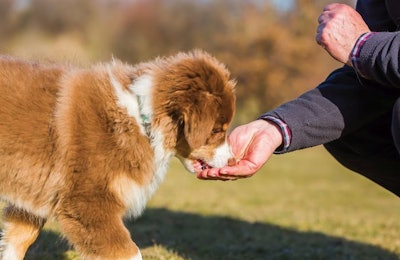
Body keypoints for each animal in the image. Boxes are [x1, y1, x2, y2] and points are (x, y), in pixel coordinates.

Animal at [0, 49, 234, 258]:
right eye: (217, 130)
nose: (232, 159)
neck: (142, 120)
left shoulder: (32, 197)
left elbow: (19, 240)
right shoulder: (88, 203)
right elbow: (129, 252)